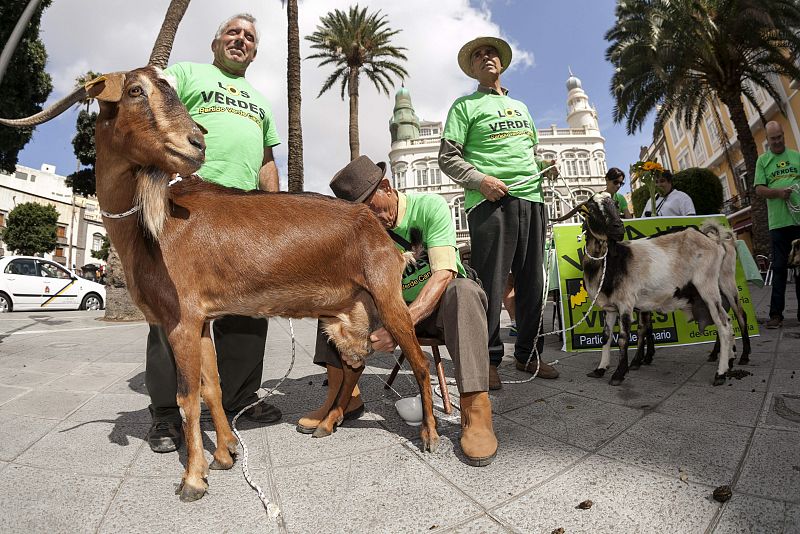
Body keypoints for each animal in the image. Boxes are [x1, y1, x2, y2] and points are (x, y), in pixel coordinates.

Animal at [0, 66, 444, 502]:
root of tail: (383, 235)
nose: (196, 143)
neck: (155, 229)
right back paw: (324, 424)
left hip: (387, 299)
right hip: (345, 315)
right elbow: (211, 385)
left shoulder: (181, 320)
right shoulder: (201, 320)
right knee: (352, 367)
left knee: (419, 363)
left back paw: (430, 436)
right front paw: (225, 453)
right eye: (135, 90)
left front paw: (193, 479)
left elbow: (187, 396)